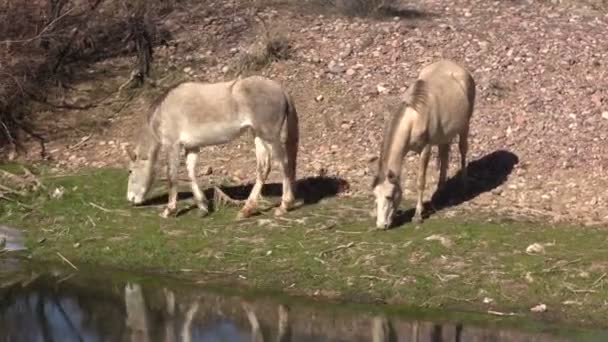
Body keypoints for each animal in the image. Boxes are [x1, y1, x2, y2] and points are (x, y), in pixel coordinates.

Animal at [126, 75, 300, 219]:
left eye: (130, 171)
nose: (130, 198)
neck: (164, 110)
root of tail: (281, 90)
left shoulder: (172, 145)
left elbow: (172, 177)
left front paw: (169, 210)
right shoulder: (192, 147)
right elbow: (191, 173)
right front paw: (202, 206)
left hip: (270, 136)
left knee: (284, 164)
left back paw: (284, 205)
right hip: (258, 136)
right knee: (263, 169)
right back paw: (246, 210)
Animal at [370, 59, 476, 228]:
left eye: (389, 196)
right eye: (375, 196)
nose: (381, 225)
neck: (414, 118)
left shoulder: (425, 149)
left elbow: (420, 181)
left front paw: (418, 215)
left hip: (465, 126)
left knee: (463, 150)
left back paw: (464, 186)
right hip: (444, 135)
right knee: (444, 155)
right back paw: (440, 193)